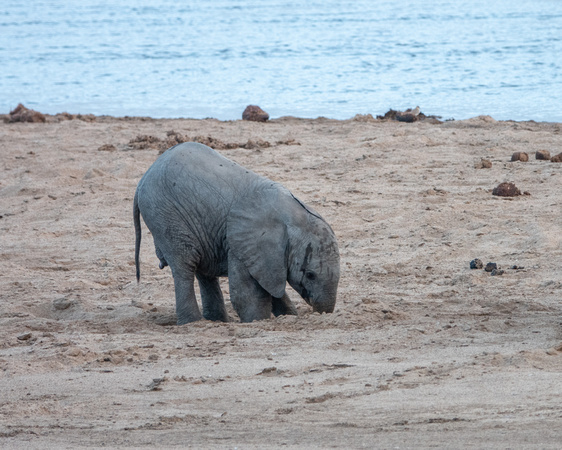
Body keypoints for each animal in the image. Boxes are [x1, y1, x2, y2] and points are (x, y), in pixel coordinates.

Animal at [133, 143, 340, 324]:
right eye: (310, 275)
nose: (321, 314)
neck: (293, 216)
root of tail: (142, 179)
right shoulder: (244, 243)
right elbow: (247, 292)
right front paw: (257, 321)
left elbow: (269, 286)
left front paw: (288, 316)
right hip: (165, 216)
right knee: (185, 265)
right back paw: (193, 323)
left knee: (203, 271)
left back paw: (217, 321)